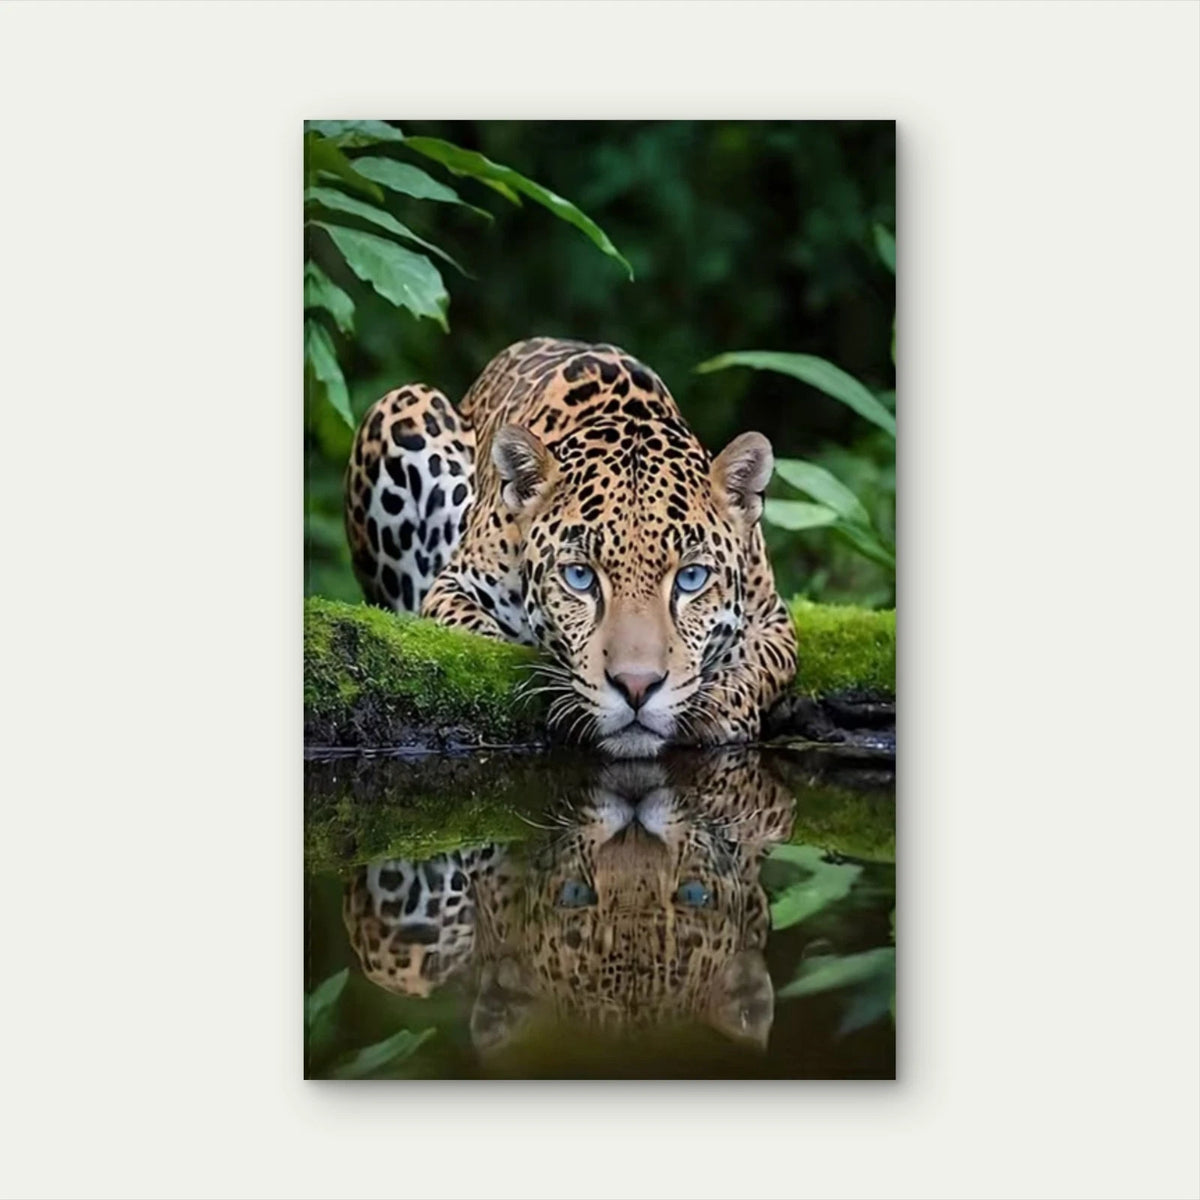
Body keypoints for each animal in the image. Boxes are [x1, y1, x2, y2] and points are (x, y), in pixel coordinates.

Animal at [345, 337, 798, 757]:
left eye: (691, 578)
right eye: (579, 577)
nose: (636, 687)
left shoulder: (773, 618)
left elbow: (763, 663)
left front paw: (720, 705)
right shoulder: (454, 585)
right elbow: (479, 636)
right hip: (400, 404)